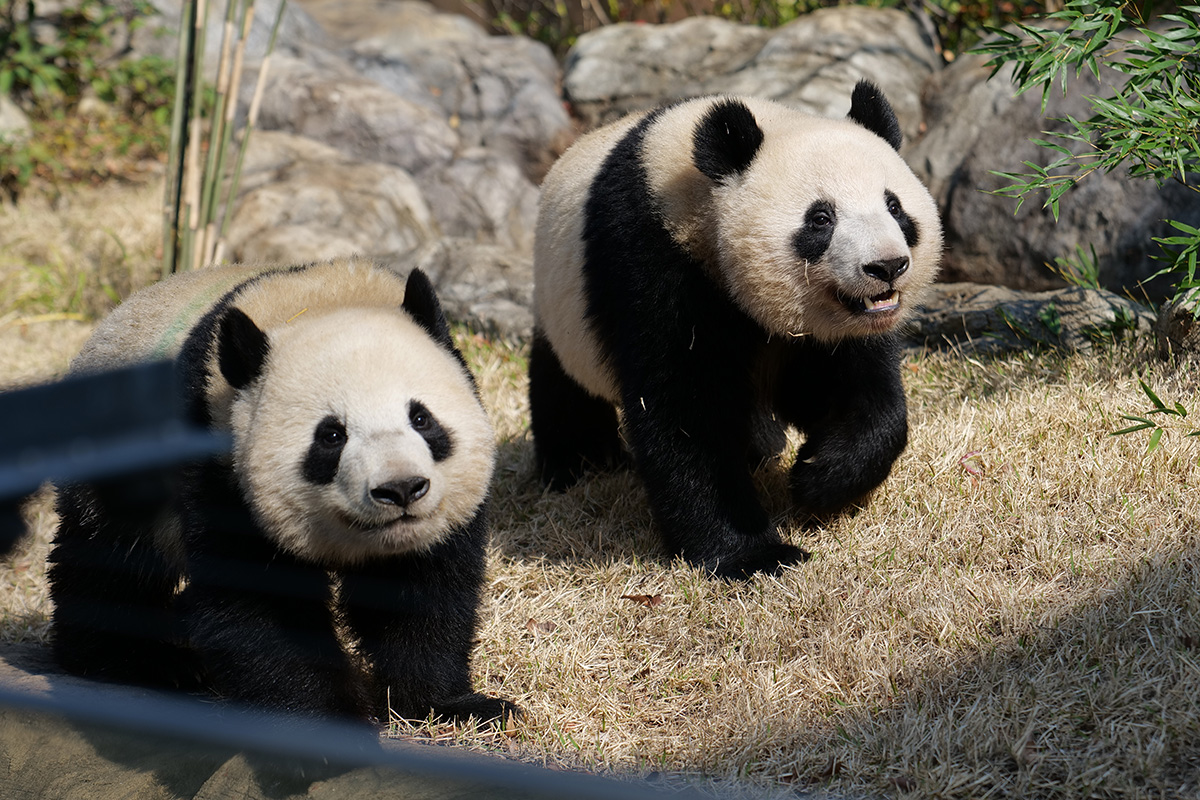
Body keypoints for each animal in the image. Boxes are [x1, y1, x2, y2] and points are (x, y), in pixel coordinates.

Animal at [46, 256, 520, 724]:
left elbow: (424, 591)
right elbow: (260, 599)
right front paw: (328, 719)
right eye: (331, 436)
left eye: (421, 419)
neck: (320, 300)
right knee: (112, 561)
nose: (400, 489)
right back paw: (144, 660)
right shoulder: (217, 462)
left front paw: (450, 704)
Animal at [530, 81, 940, 578]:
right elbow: (683, 409)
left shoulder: (825, 333)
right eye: (821, 218)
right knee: (562, 387)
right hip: (562, 307)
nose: (886, 266)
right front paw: (754, 555)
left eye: (894, 206)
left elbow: (856, 391)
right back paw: (579, 463)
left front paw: (818, 476)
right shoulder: (651, 258)